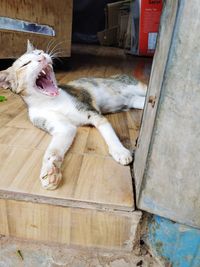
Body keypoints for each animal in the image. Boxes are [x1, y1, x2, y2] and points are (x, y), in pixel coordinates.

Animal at [0, 40, 147, 191]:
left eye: (39, 52)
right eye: (25, 64)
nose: (42, 57)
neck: (50, 101)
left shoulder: (90, 111)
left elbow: (108, 132)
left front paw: (120, 151)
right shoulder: (62, 127)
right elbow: (53, 149)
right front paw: (50, 171)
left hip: (136, 87)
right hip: (135, 100)